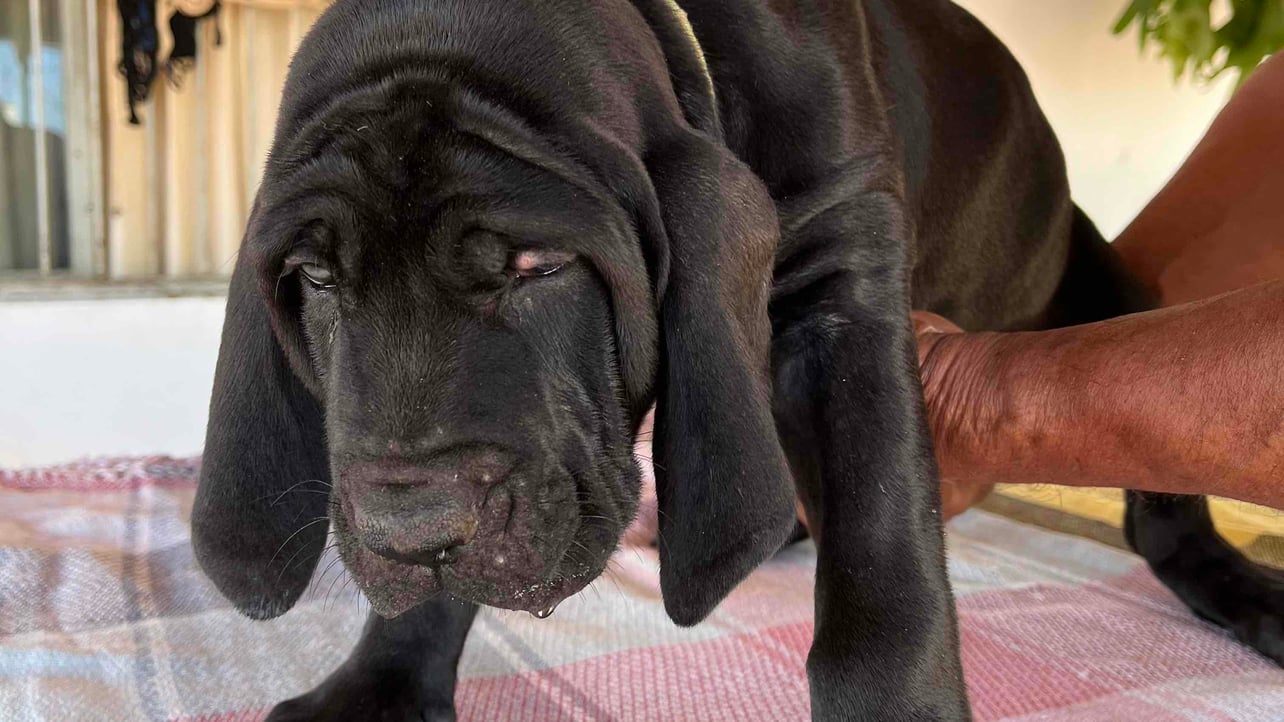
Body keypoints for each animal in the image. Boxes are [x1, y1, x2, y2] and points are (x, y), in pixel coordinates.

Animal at [191, 0, 1284, 719]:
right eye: (316, 280)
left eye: (540, 265)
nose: (410, 531)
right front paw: (377, 684)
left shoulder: (847, 285)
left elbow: (885, 560)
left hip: (1105, 283)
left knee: (1162, 515)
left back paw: (1238, 586)